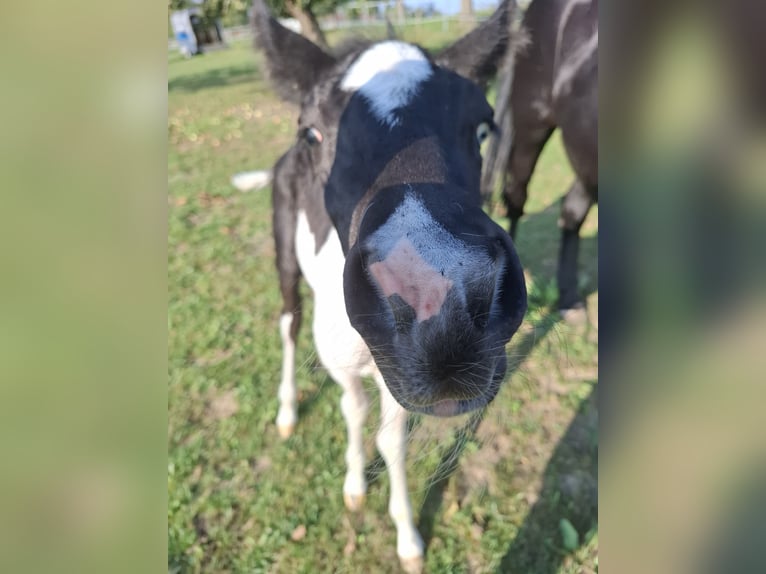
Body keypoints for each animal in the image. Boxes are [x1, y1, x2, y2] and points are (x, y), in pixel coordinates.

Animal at [252, 0, 528, 572]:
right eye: (311, 133)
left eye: (483, 127)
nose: (440, 310)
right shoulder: (338, 357)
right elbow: (353, 411)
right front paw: (356, 486)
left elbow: (392, 438)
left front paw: (406, 535)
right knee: (288, 319)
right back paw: (287, 409)